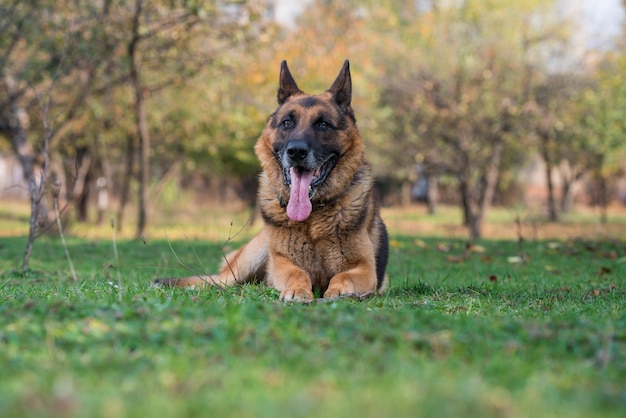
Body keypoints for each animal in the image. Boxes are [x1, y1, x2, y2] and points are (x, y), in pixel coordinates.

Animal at [155, 59, 386, 300]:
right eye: (287, 123)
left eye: (323, 124)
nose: (296, 152)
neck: (313, 218)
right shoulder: (282, 264)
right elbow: (297, 273)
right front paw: (297, 290)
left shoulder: (365, 268)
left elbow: (343, 277)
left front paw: (338, 291)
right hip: (251, 257)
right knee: (218, 280)